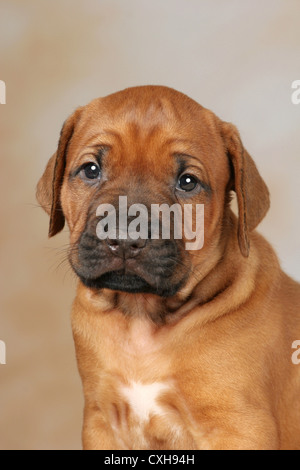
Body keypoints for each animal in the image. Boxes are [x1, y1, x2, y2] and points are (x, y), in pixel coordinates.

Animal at [37, 86, 300, 450]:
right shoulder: (101, 420)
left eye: (187, 182)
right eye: (90, 170)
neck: (142, 318)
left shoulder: (240, 427)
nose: (124, 237)